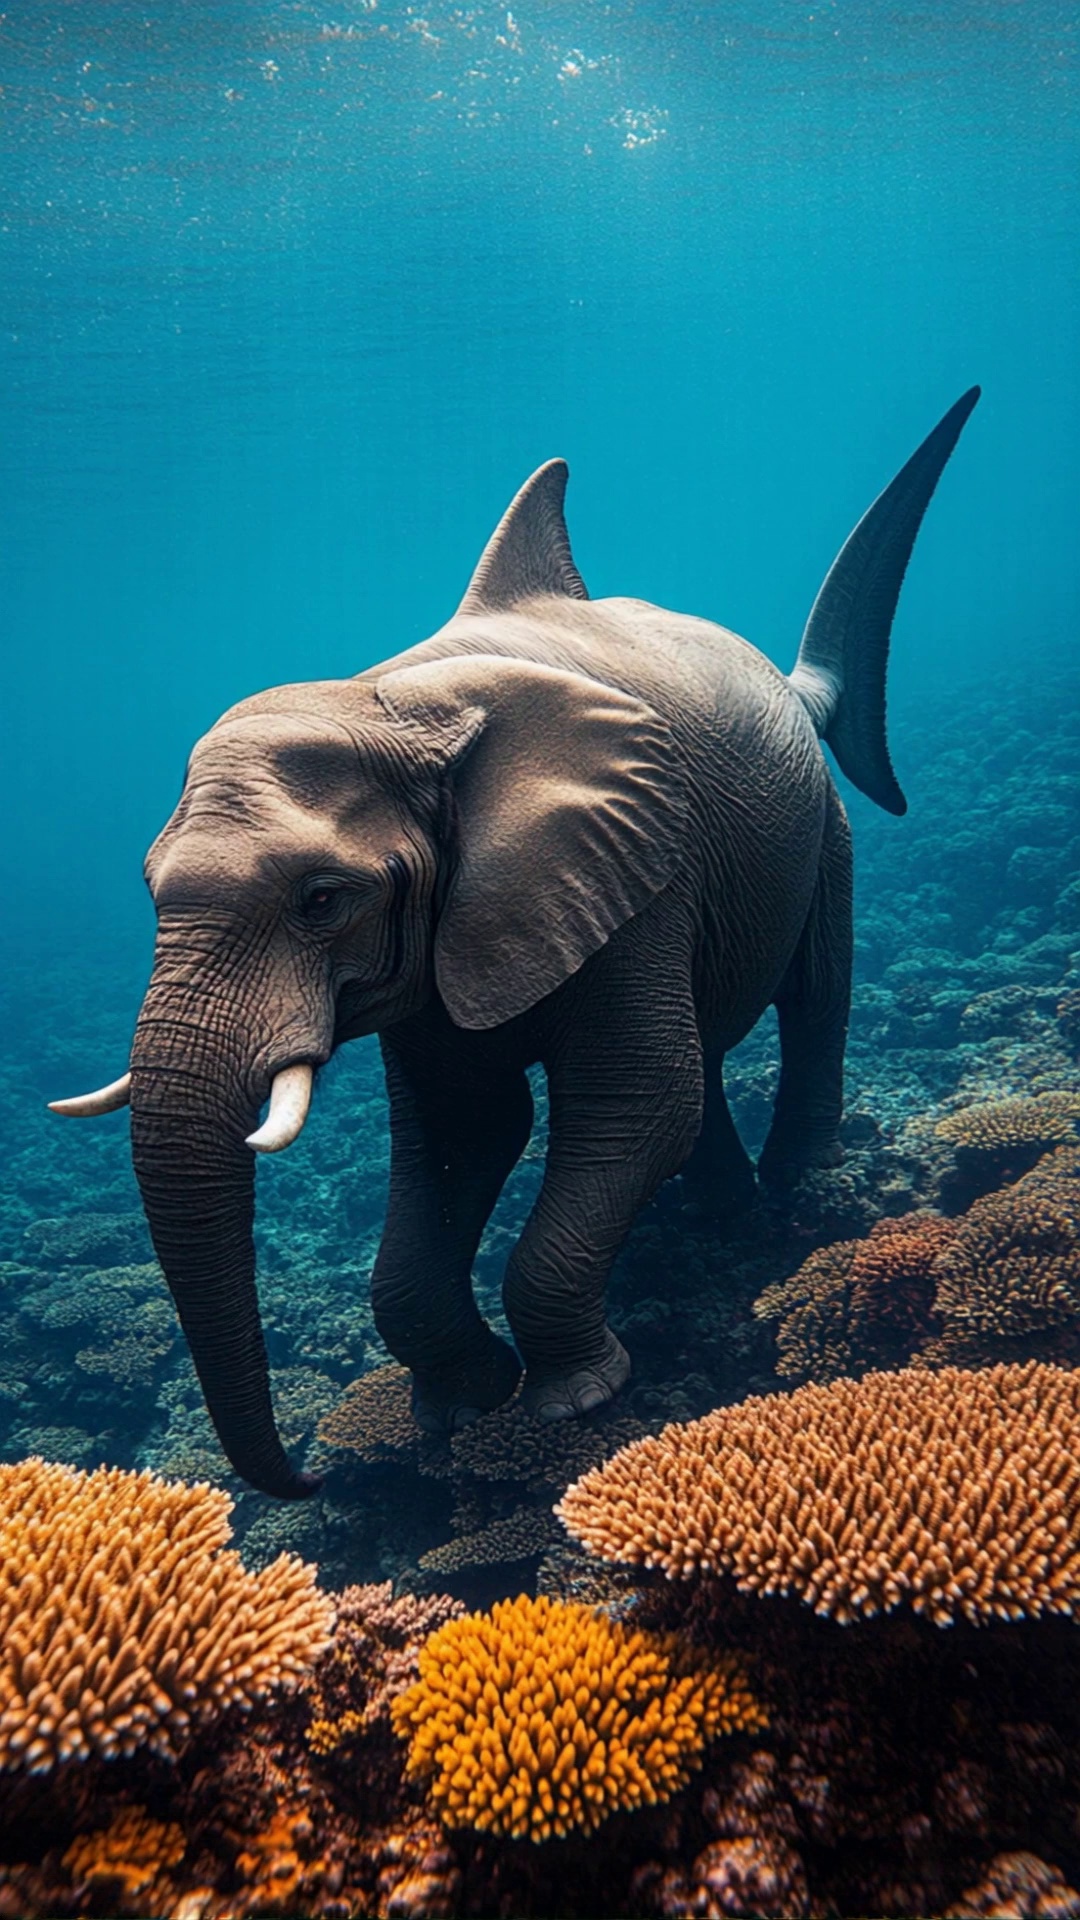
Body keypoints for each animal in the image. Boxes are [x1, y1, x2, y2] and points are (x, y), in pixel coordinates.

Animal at [51, 387, 979, 1499]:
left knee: (811, 999)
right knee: (710, 1055)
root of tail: (799, 689)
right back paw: (719, 1216)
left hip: (824, 832)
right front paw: (464, 1407)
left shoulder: (635, 873)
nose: (311, 1480)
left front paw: (575, 1402)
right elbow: (468, 1129)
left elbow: (630, 1102)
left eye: (322, 900)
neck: (397, 708)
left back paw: (799, 1204)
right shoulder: (445, 947)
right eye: (149, 890)